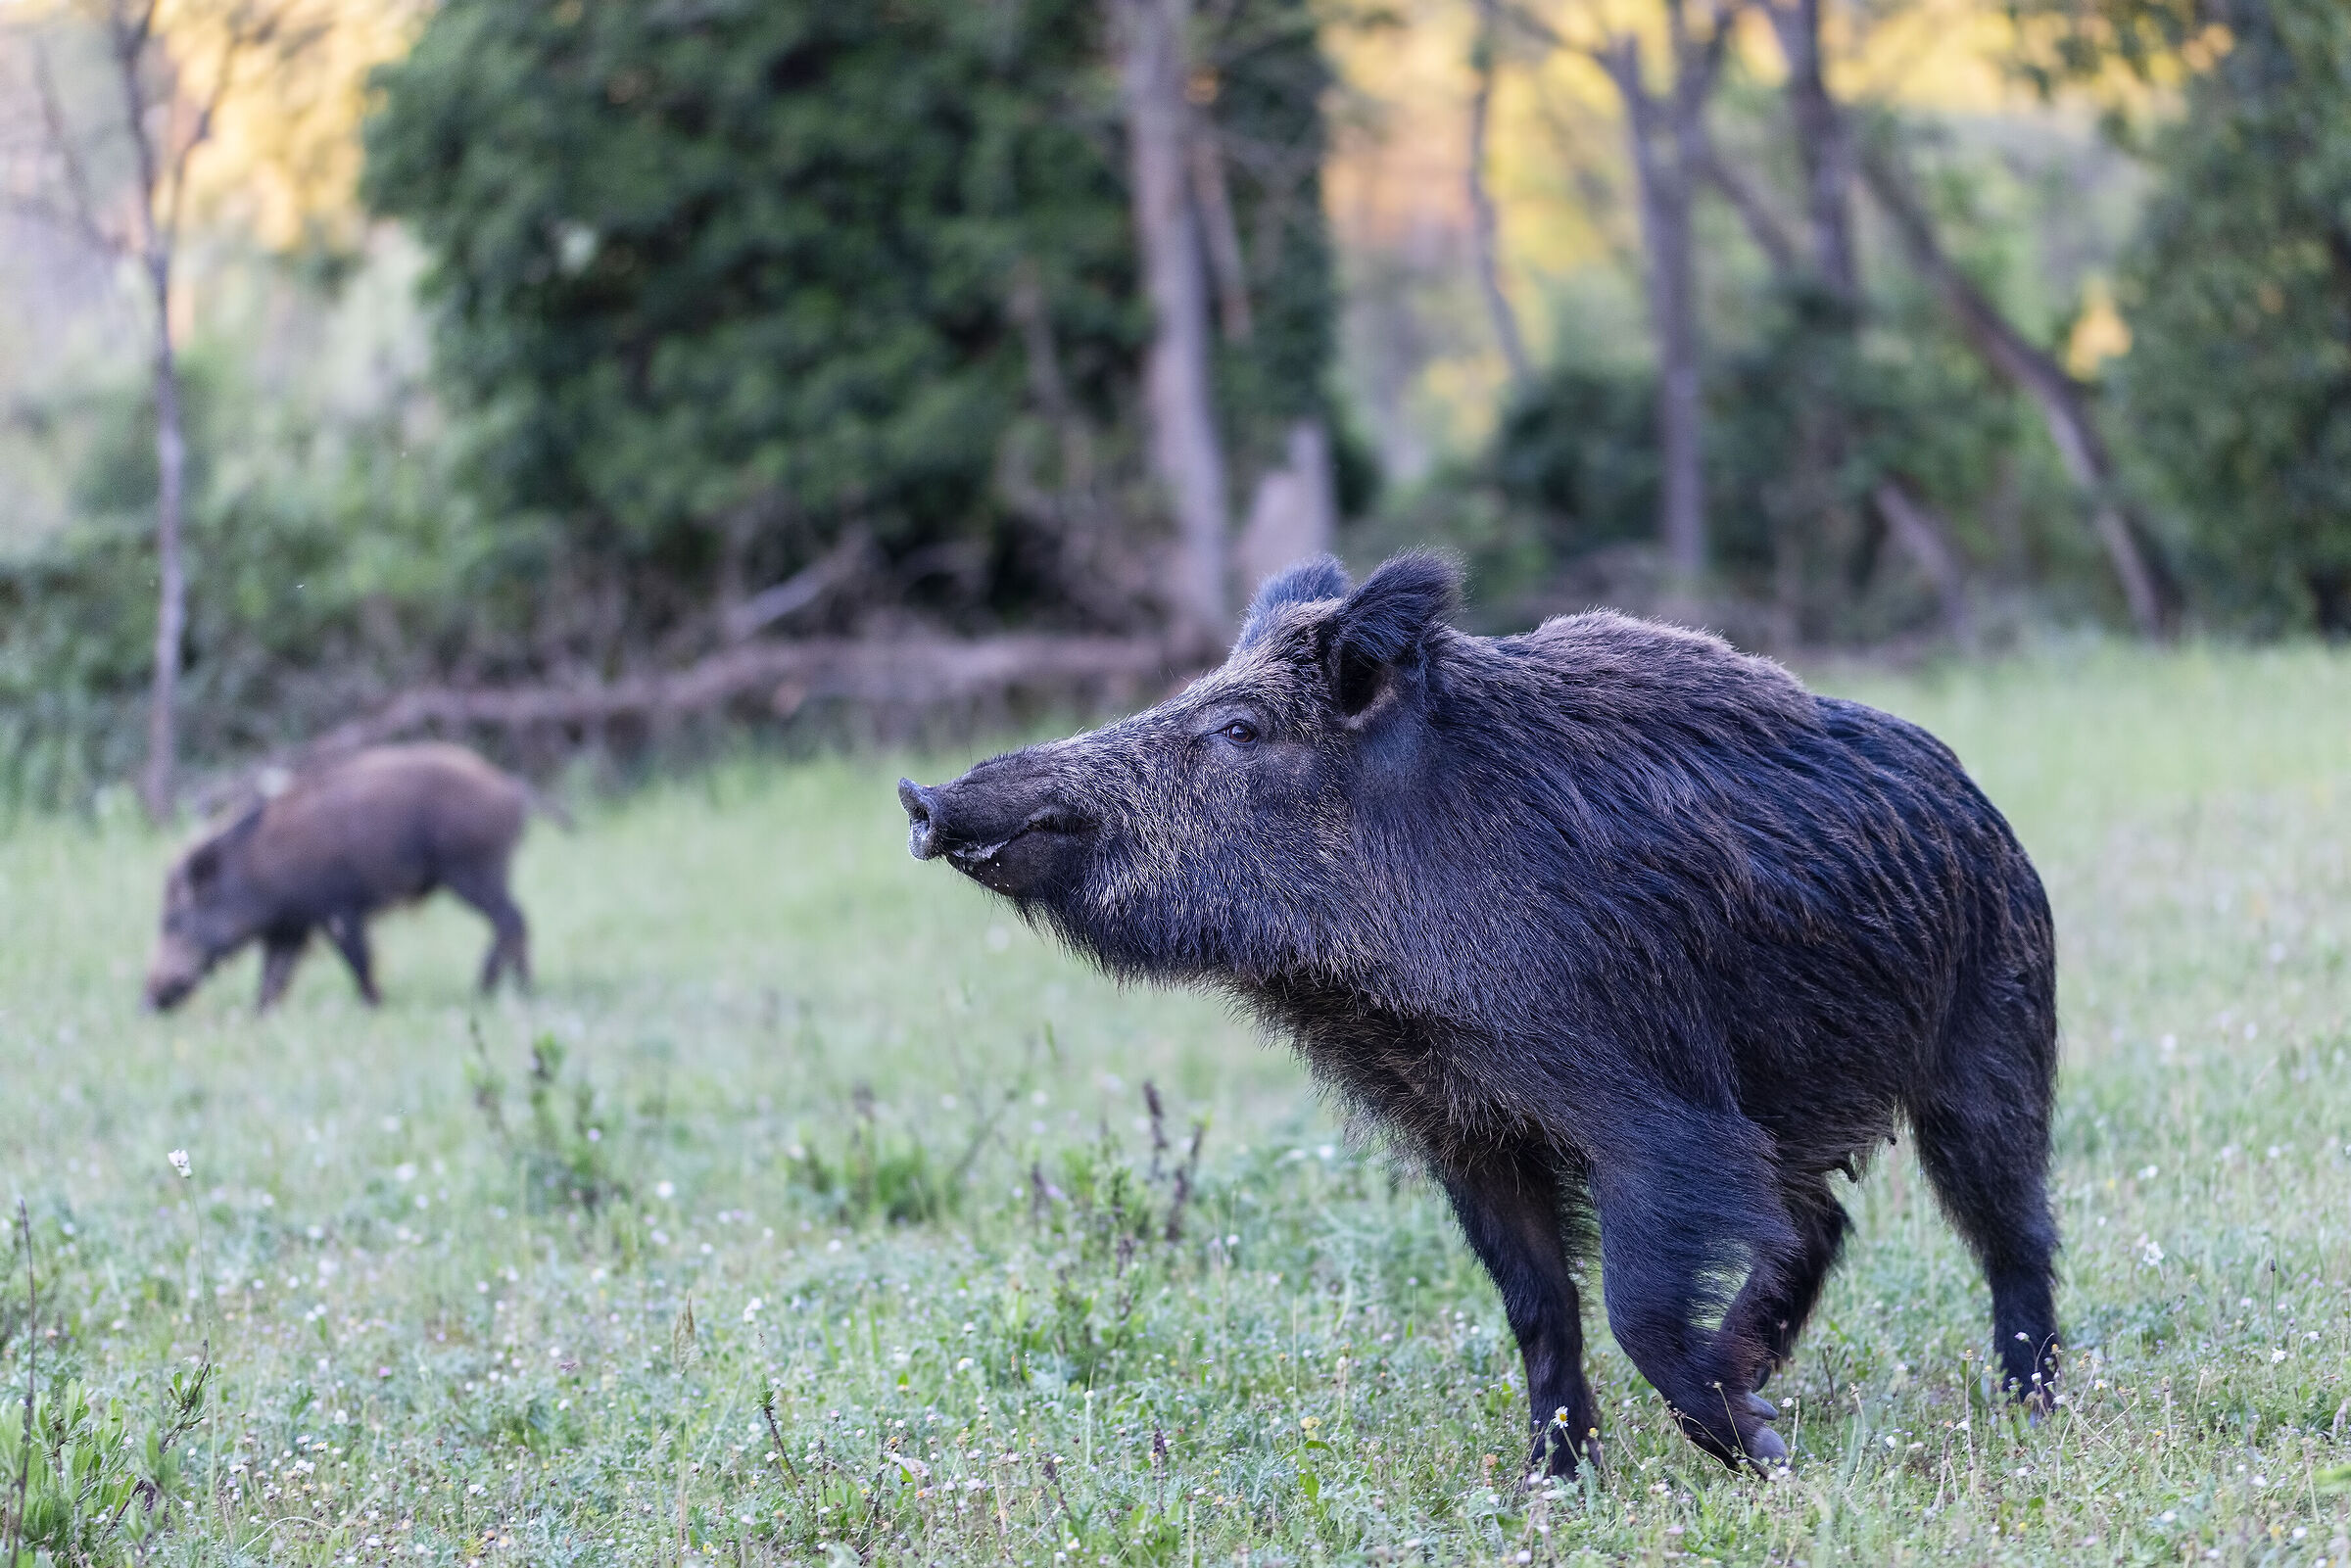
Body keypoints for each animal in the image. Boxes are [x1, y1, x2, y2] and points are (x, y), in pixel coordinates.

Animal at [145, 742, 541, 1012]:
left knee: (512, 919)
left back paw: (491, 990)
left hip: (473, 871)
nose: (146, 1002)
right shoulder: (290, 928)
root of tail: (513, 791)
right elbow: (273, 978)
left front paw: (374, 1005)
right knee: (515, 920)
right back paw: (511, 990)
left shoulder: (337, 910)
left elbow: (357, 959)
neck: (253, 875)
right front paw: (258, 1015)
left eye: (174, 920)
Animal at [899, 552, 2059, 1474]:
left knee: (2010, 1223)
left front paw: (1763, 1453)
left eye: (1236, 725)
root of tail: (1976, 799)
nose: (922, 796)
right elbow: (1538, 1305)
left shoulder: (1652, 1106)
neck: (1379, 996)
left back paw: (2029, 1406)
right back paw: (1767, 1362)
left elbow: (1635, 1300)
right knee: (1818, 1221)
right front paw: (1552, 1479)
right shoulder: (1467, 1126)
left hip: (1995, 1039)